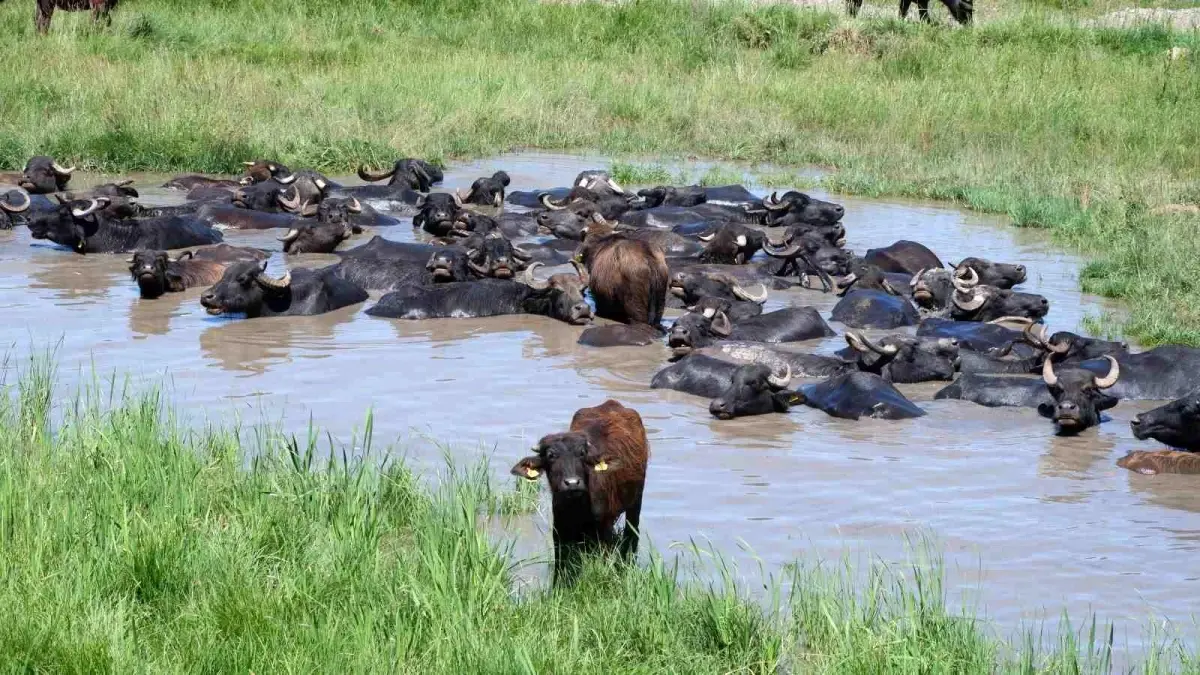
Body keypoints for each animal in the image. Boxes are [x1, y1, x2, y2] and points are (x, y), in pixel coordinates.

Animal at [511, 396, 652, 581]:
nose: (572, 483)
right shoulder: (560, 531)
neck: (578, 506)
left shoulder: (603, 531)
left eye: (582, 453)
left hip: (635, 504)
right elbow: (561, 567)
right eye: (550, 455)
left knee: (631, 535)